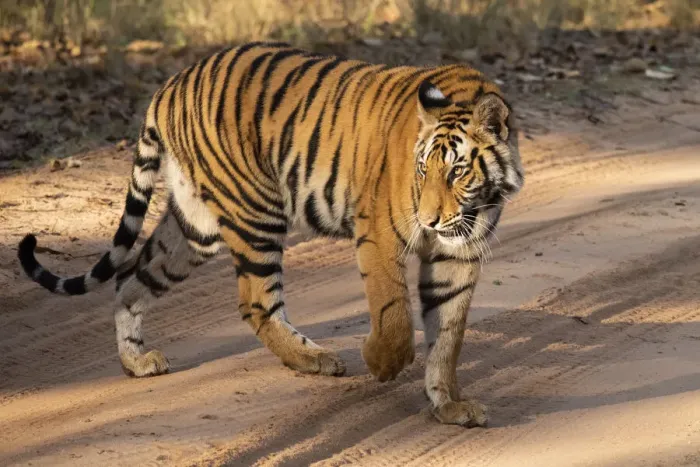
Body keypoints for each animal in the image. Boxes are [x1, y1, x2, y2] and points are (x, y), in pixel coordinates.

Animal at [18, 41, 524, 427]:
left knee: (130, 280)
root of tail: (170, 85)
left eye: (457, 171)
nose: (431, 220)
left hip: (194, 228)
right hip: (256, 209)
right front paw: (380, 363)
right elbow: (395, 313)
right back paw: (316, 359)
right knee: (257, 301)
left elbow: (449, 336)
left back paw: (137, 363)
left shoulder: (458, 256)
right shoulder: (379, 234)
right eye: (422, 170)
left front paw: (449, 405)